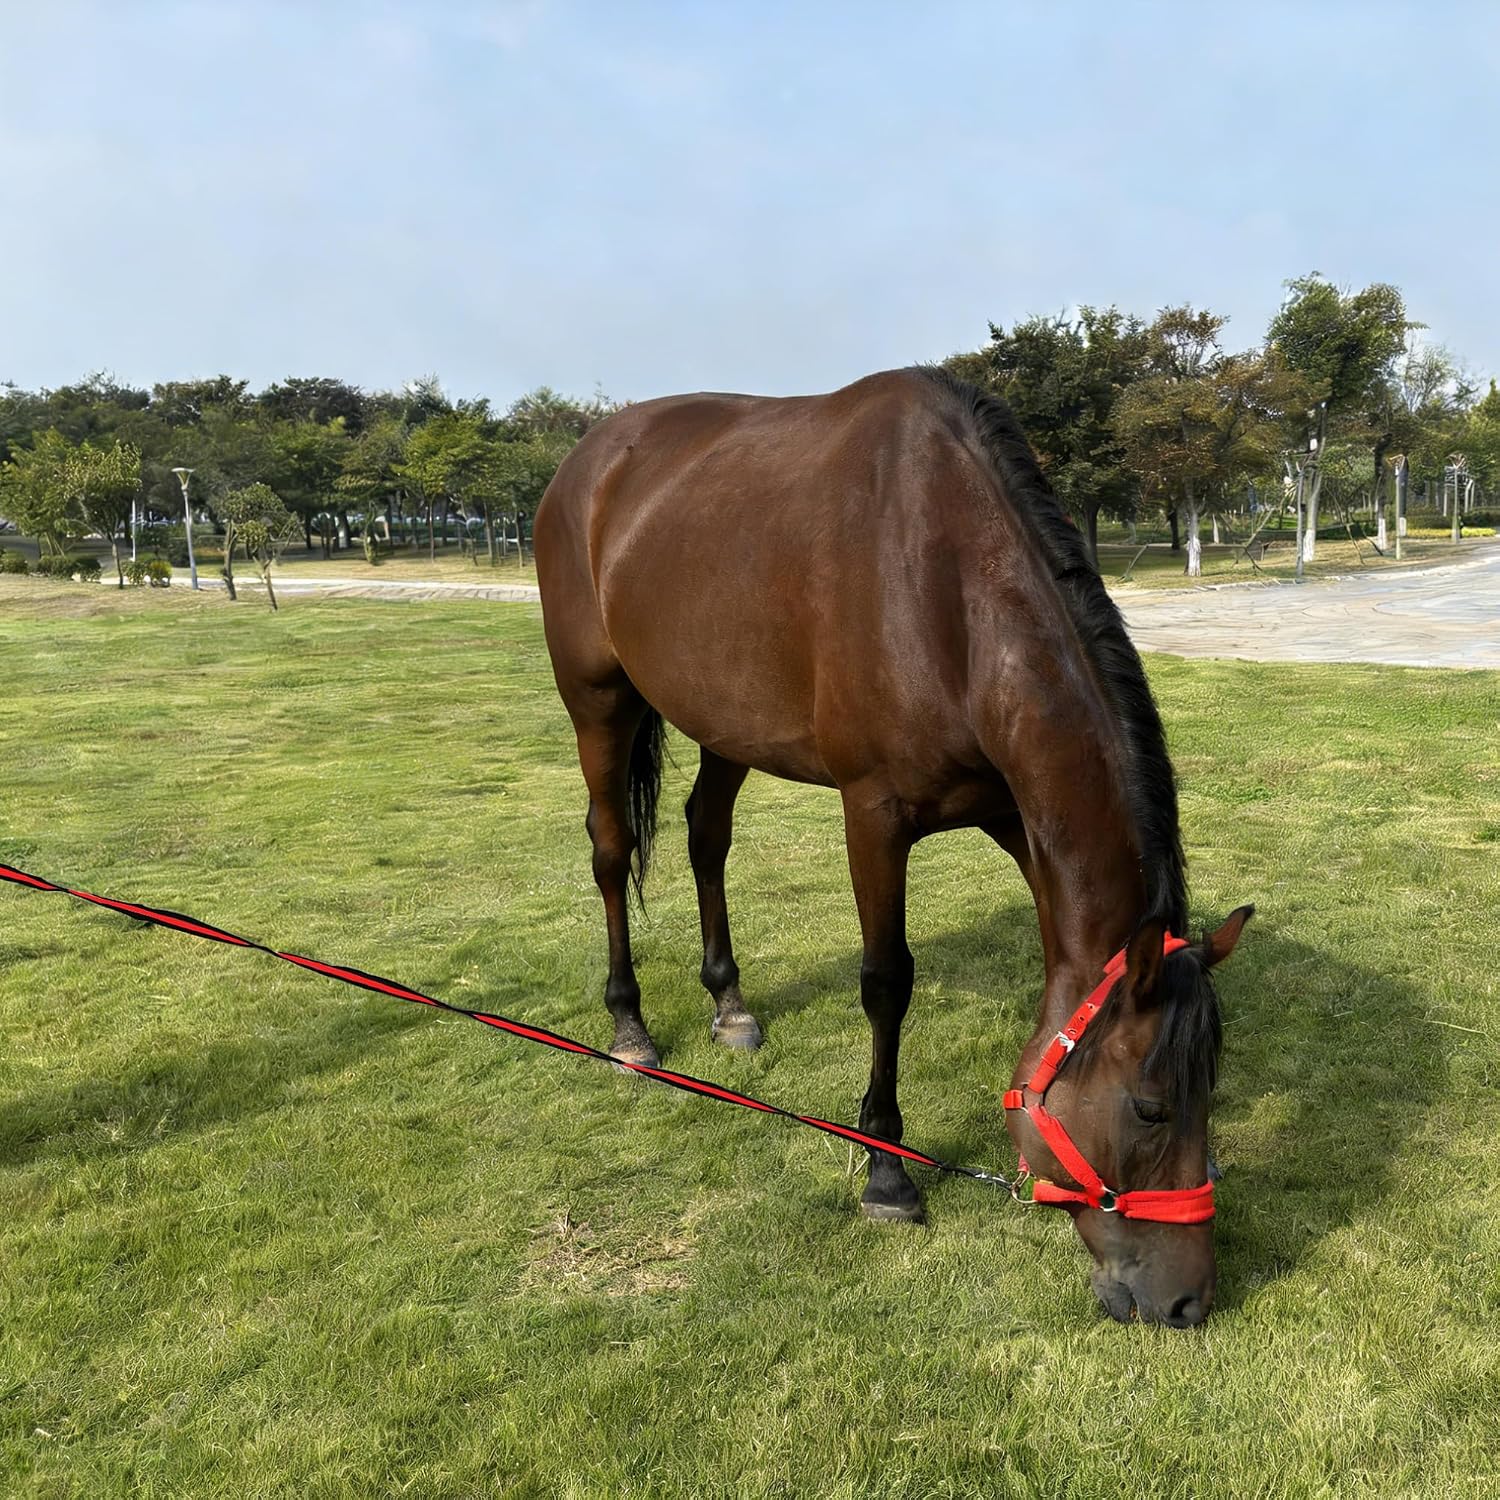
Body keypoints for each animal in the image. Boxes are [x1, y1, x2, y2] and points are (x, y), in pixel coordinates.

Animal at [534, 366, 1252, 1326]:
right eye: (1148, 1109)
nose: (1187, 1304)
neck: (948, 588)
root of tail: (586, 460)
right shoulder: (873, 813)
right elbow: (886, 983)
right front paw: (886, 1171)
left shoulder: (1015, 817)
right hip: (598, 701)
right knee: (611, 851)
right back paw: (631, 1029)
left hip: (725, 723)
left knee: (705, 835)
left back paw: (730, 1005)